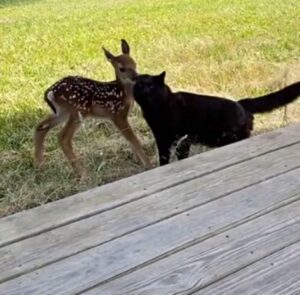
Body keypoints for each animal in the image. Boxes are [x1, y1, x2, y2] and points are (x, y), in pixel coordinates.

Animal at [134, 71, 300, 164]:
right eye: (140, 85)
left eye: (151, 86)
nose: (145, 91)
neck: (155, 110)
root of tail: (241, 103)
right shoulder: (163, 138)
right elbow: (168, 157)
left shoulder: (180, 138)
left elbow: (175, 156)